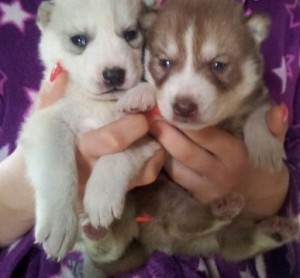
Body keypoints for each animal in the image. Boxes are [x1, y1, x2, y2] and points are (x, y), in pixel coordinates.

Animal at [19, 0, 159, 260]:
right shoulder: (47, 122)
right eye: (79, 40)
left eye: (131, 34)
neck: (101, 106)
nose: (114, 74)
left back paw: (96, 231)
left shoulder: (147, 134)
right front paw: (59, 221)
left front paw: (100, 196)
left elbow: (119, 155)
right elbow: (57, 169)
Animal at [82, 0, 298, 276]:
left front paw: (265, 147)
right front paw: (138, 94)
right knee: (182, 221)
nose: (183, 107)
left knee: (236, 245)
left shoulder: (258, 97)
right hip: (159, 195)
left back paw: (276, 231)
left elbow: (259, 114)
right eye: (165, 63)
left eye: (218, 65)